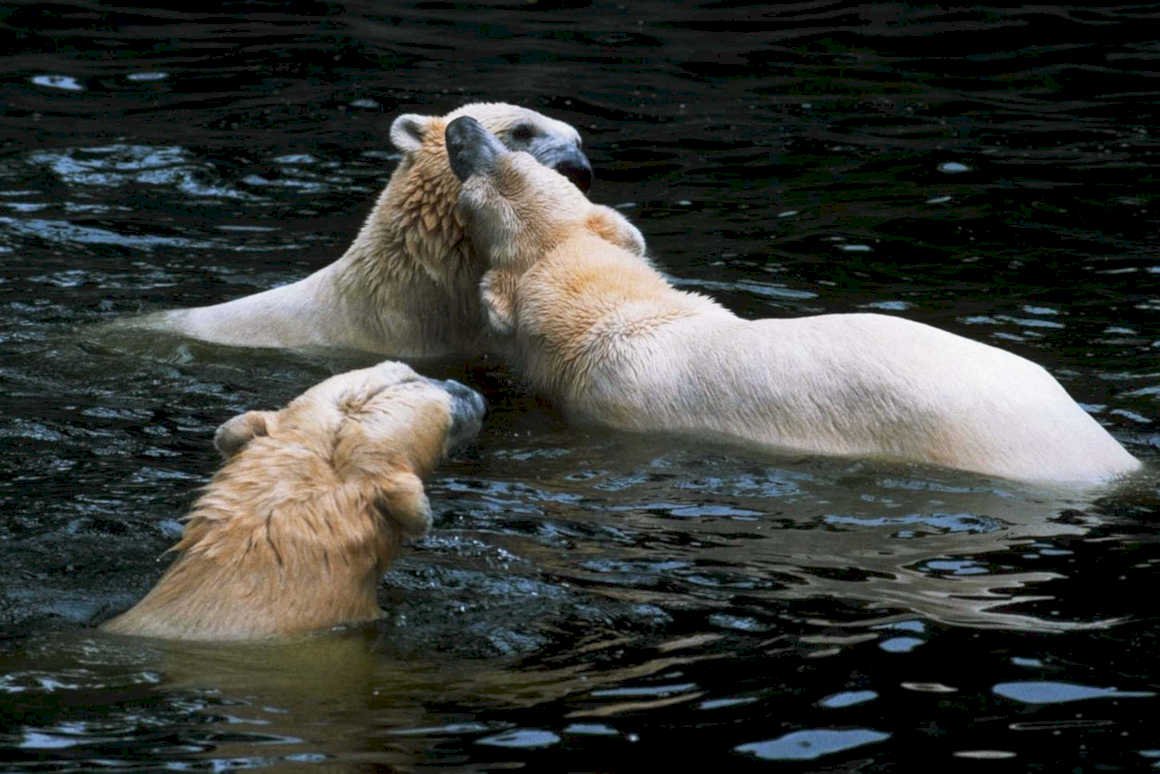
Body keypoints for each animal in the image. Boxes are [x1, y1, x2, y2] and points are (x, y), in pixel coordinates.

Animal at [444, 115, 1141, 486]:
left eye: (479, 190)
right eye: (522, 161)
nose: (462, 127)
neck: (623, 317)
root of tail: (1109, 457)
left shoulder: (609, 408)